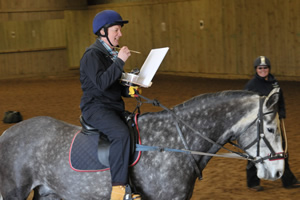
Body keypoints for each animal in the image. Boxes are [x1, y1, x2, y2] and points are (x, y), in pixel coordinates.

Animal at [0, 89, 284, 200]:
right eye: (270, 129)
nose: (278, 171)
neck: (174, 143)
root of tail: (7, 134)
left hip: (48, 192)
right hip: (14, 192)